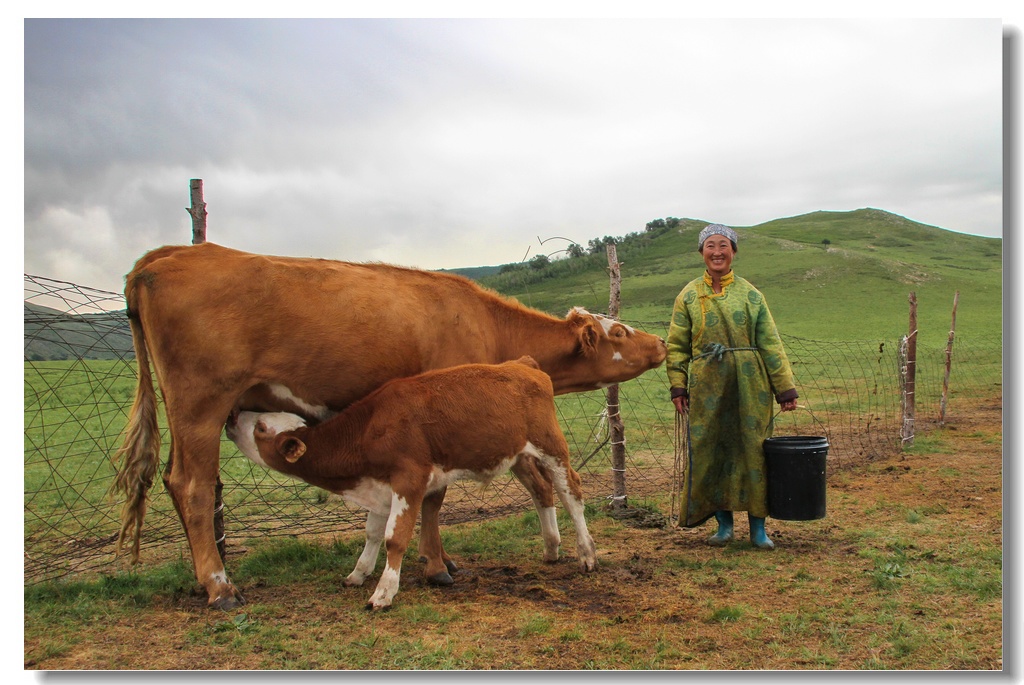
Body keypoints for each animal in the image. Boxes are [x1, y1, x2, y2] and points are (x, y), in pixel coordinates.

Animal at [224, 358, 593, 610]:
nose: (232, 417)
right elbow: (373, 534)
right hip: (517, 455)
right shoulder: (379, 487)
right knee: (541, 491)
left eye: (261, 428)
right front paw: (359, 573)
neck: (369, 428)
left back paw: (586, 554)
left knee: (571, 492)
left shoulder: (409, 479)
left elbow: (395, 538)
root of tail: (522, 364)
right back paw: (551, 548)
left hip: (552, 447)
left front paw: (384, 591)